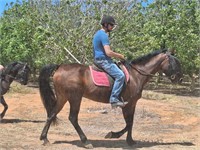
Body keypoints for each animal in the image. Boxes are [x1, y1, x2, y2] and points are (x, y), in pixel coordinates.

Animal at [38, 49, 182, 149]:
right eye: (175, 62)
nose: (180, 79)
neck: (136, 75)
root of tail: (59, 66)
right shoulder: (127, 103)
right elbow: (129, 123)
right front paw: (114, 135)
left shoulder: (132, 104)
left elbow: (130, 122)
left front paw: (130, 140)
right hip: (75, 97)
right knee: (73, 118)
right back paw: (85, 141)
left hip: (63, 97)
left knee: (51, 114)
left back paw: (44, 138)